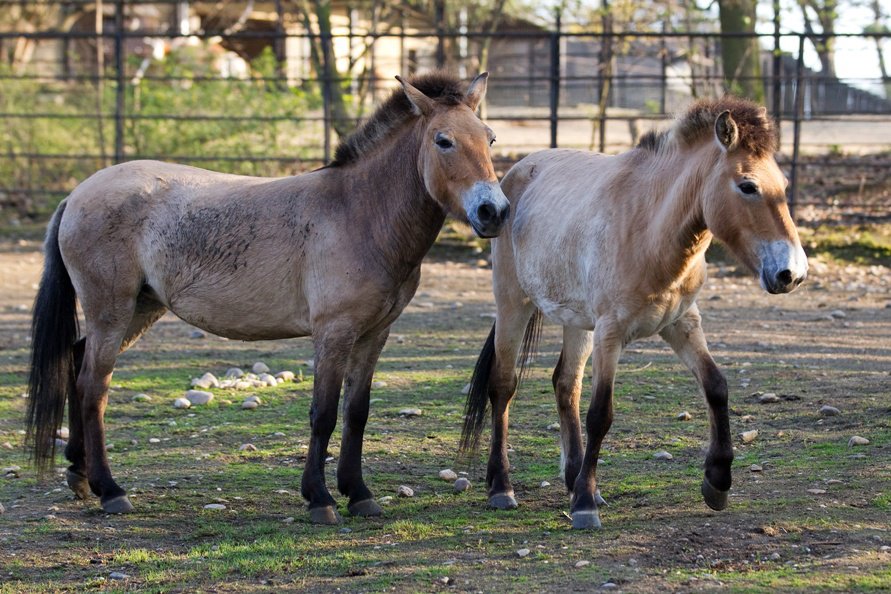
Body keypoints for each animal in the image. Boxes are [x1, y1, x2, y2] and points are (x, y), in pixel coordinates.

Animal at [26, 71, 508, 520]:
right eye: (443, 141)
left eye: (489, 137)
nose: (493, 211)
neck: (359, 212)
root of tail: (77, 195)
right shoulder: (334, 333)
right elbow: (323, 413)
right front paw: (320, 499)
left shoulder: (374, 335)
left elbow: (357, 412)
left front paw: (360, 494)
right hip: (112, 310)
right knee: (93, 386)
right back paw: (110, 489)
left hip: (139, 309)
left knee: (76, 361)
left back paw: (79, 474)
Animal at [460, 96, 808, 528]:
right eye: (748, 186)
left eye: (784, 186)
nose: (792, 273)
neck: (649, 228)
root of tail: (512, 180)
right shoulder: (611, 333)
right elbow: (600, 414)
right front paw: (584, 506)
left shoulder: (682, 323)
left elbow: (716, 386)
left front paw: (718, 481)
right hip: (514, 304)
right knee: (503, 385)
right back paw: (502, 487)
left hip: (578, 322)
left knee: (565, 384)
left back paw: (574, 478)